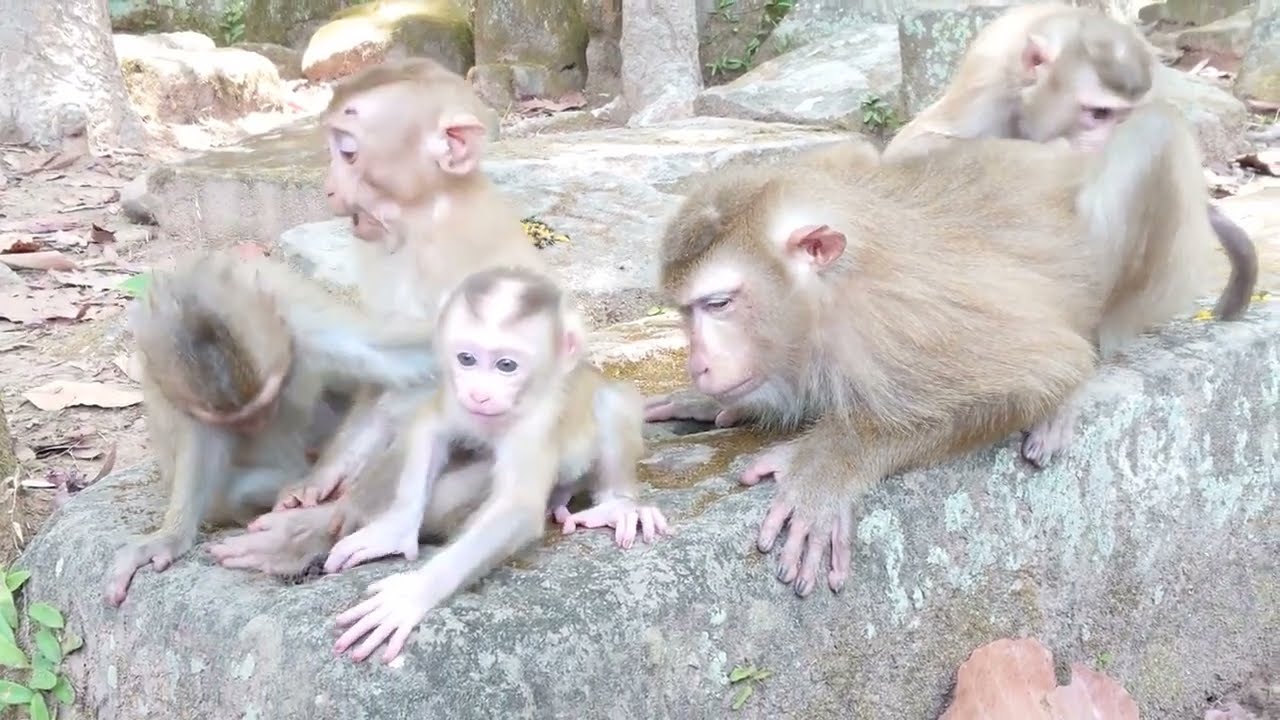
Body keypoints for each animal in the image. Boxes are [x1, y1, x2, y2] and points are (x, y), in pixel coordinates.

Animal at [105, 250, 439, 606]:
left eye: (268, 401)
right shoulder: (181, 394)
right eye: (238, 420)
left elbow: (402, 358)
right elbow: (201, 448)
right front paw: (169, 536)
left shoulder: (305, 326)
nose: (258, 421)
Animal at [648, 101, 1217, 597]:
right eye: (685, 313)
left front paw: (828, 463)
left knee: (1153, 130)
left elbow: (1042, 368)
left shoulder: (900, 322)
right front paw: (715, 403)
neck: (829, 297)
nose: (697, 365)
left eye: (719, 304)